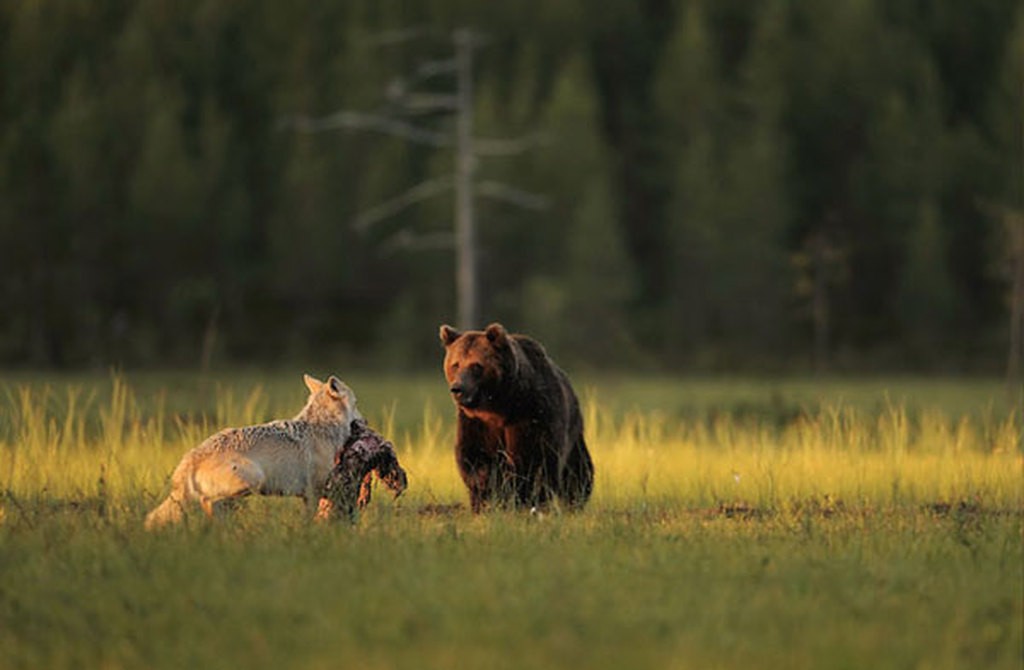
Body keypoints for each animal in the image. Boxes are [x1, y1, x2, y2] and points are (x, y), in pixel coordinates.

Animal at [145, 374, 360, 529]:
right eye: (357, 403)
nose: (364, 421)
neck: (323, 427)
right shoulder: (314, 492)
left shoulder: (307, 496)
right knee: (207, 502)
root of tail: (191, 456)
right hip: (252, 480)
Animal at [439, 322, 594, 512]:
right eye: (455, 364)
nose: (457, 388)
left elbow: (532, 460)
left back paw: (574, 501)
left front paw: (522, 499)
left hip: (573, 429)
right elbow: (474, 456)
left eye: (476, 365)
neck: (500, 405)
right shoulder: (477, 422)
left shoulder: (531, 414)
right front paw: (487, 493)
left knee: (577, 470)